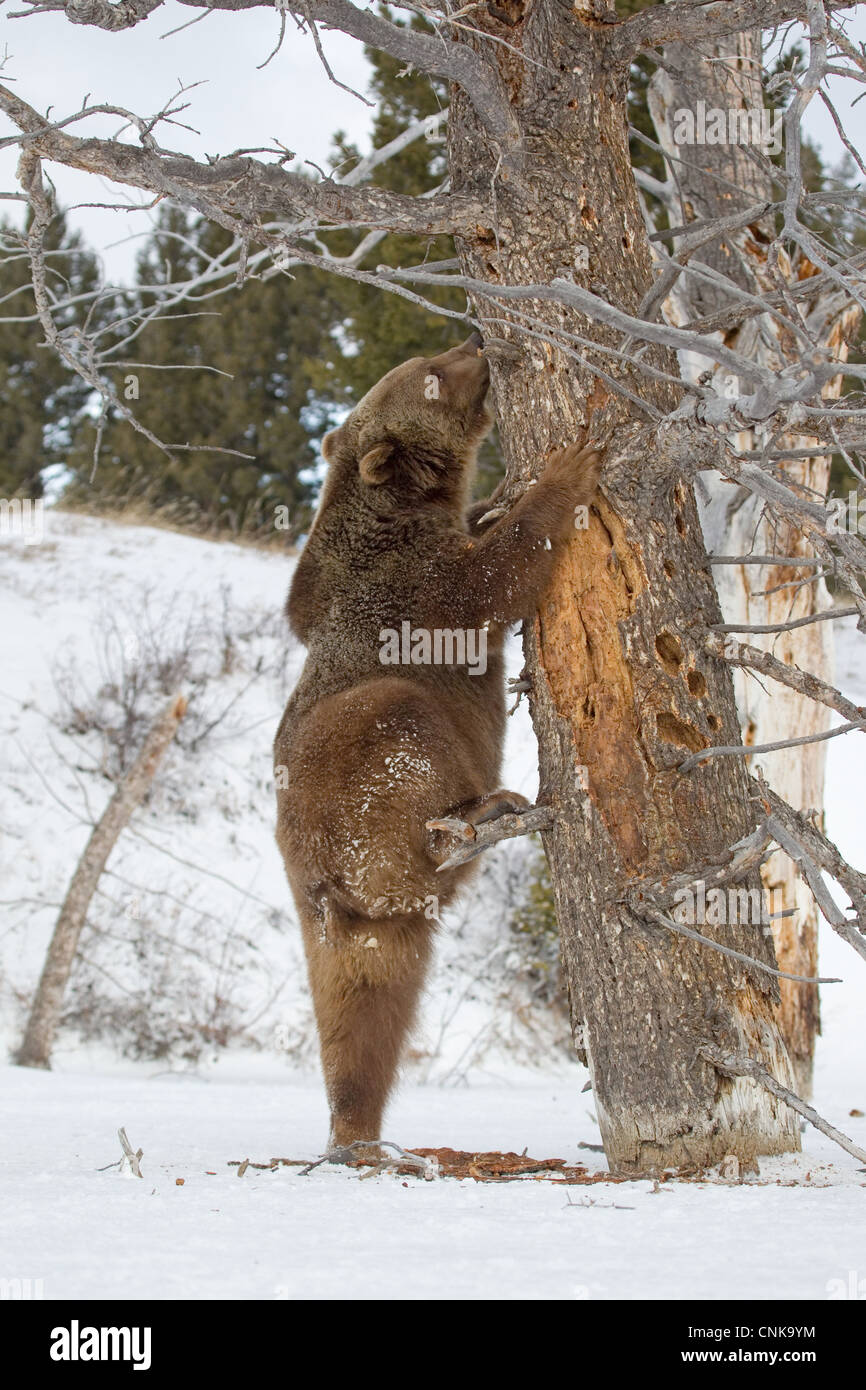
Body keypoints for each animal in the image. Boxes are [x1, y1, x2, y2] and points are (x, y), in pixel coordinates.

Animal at [273, 330, 600, 1145]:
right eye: (427, 375)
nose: (476, 337)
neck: (404, 509)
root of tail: (321, 896)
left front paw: (496, 497)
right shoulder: (409, 588)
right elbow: (488, 585)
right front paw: (566, 467)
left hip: (375, 919)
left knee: (370, 1005)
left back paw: (355, 1117)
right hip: (353, 774)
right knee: (399, 728)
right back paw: (479, 813)